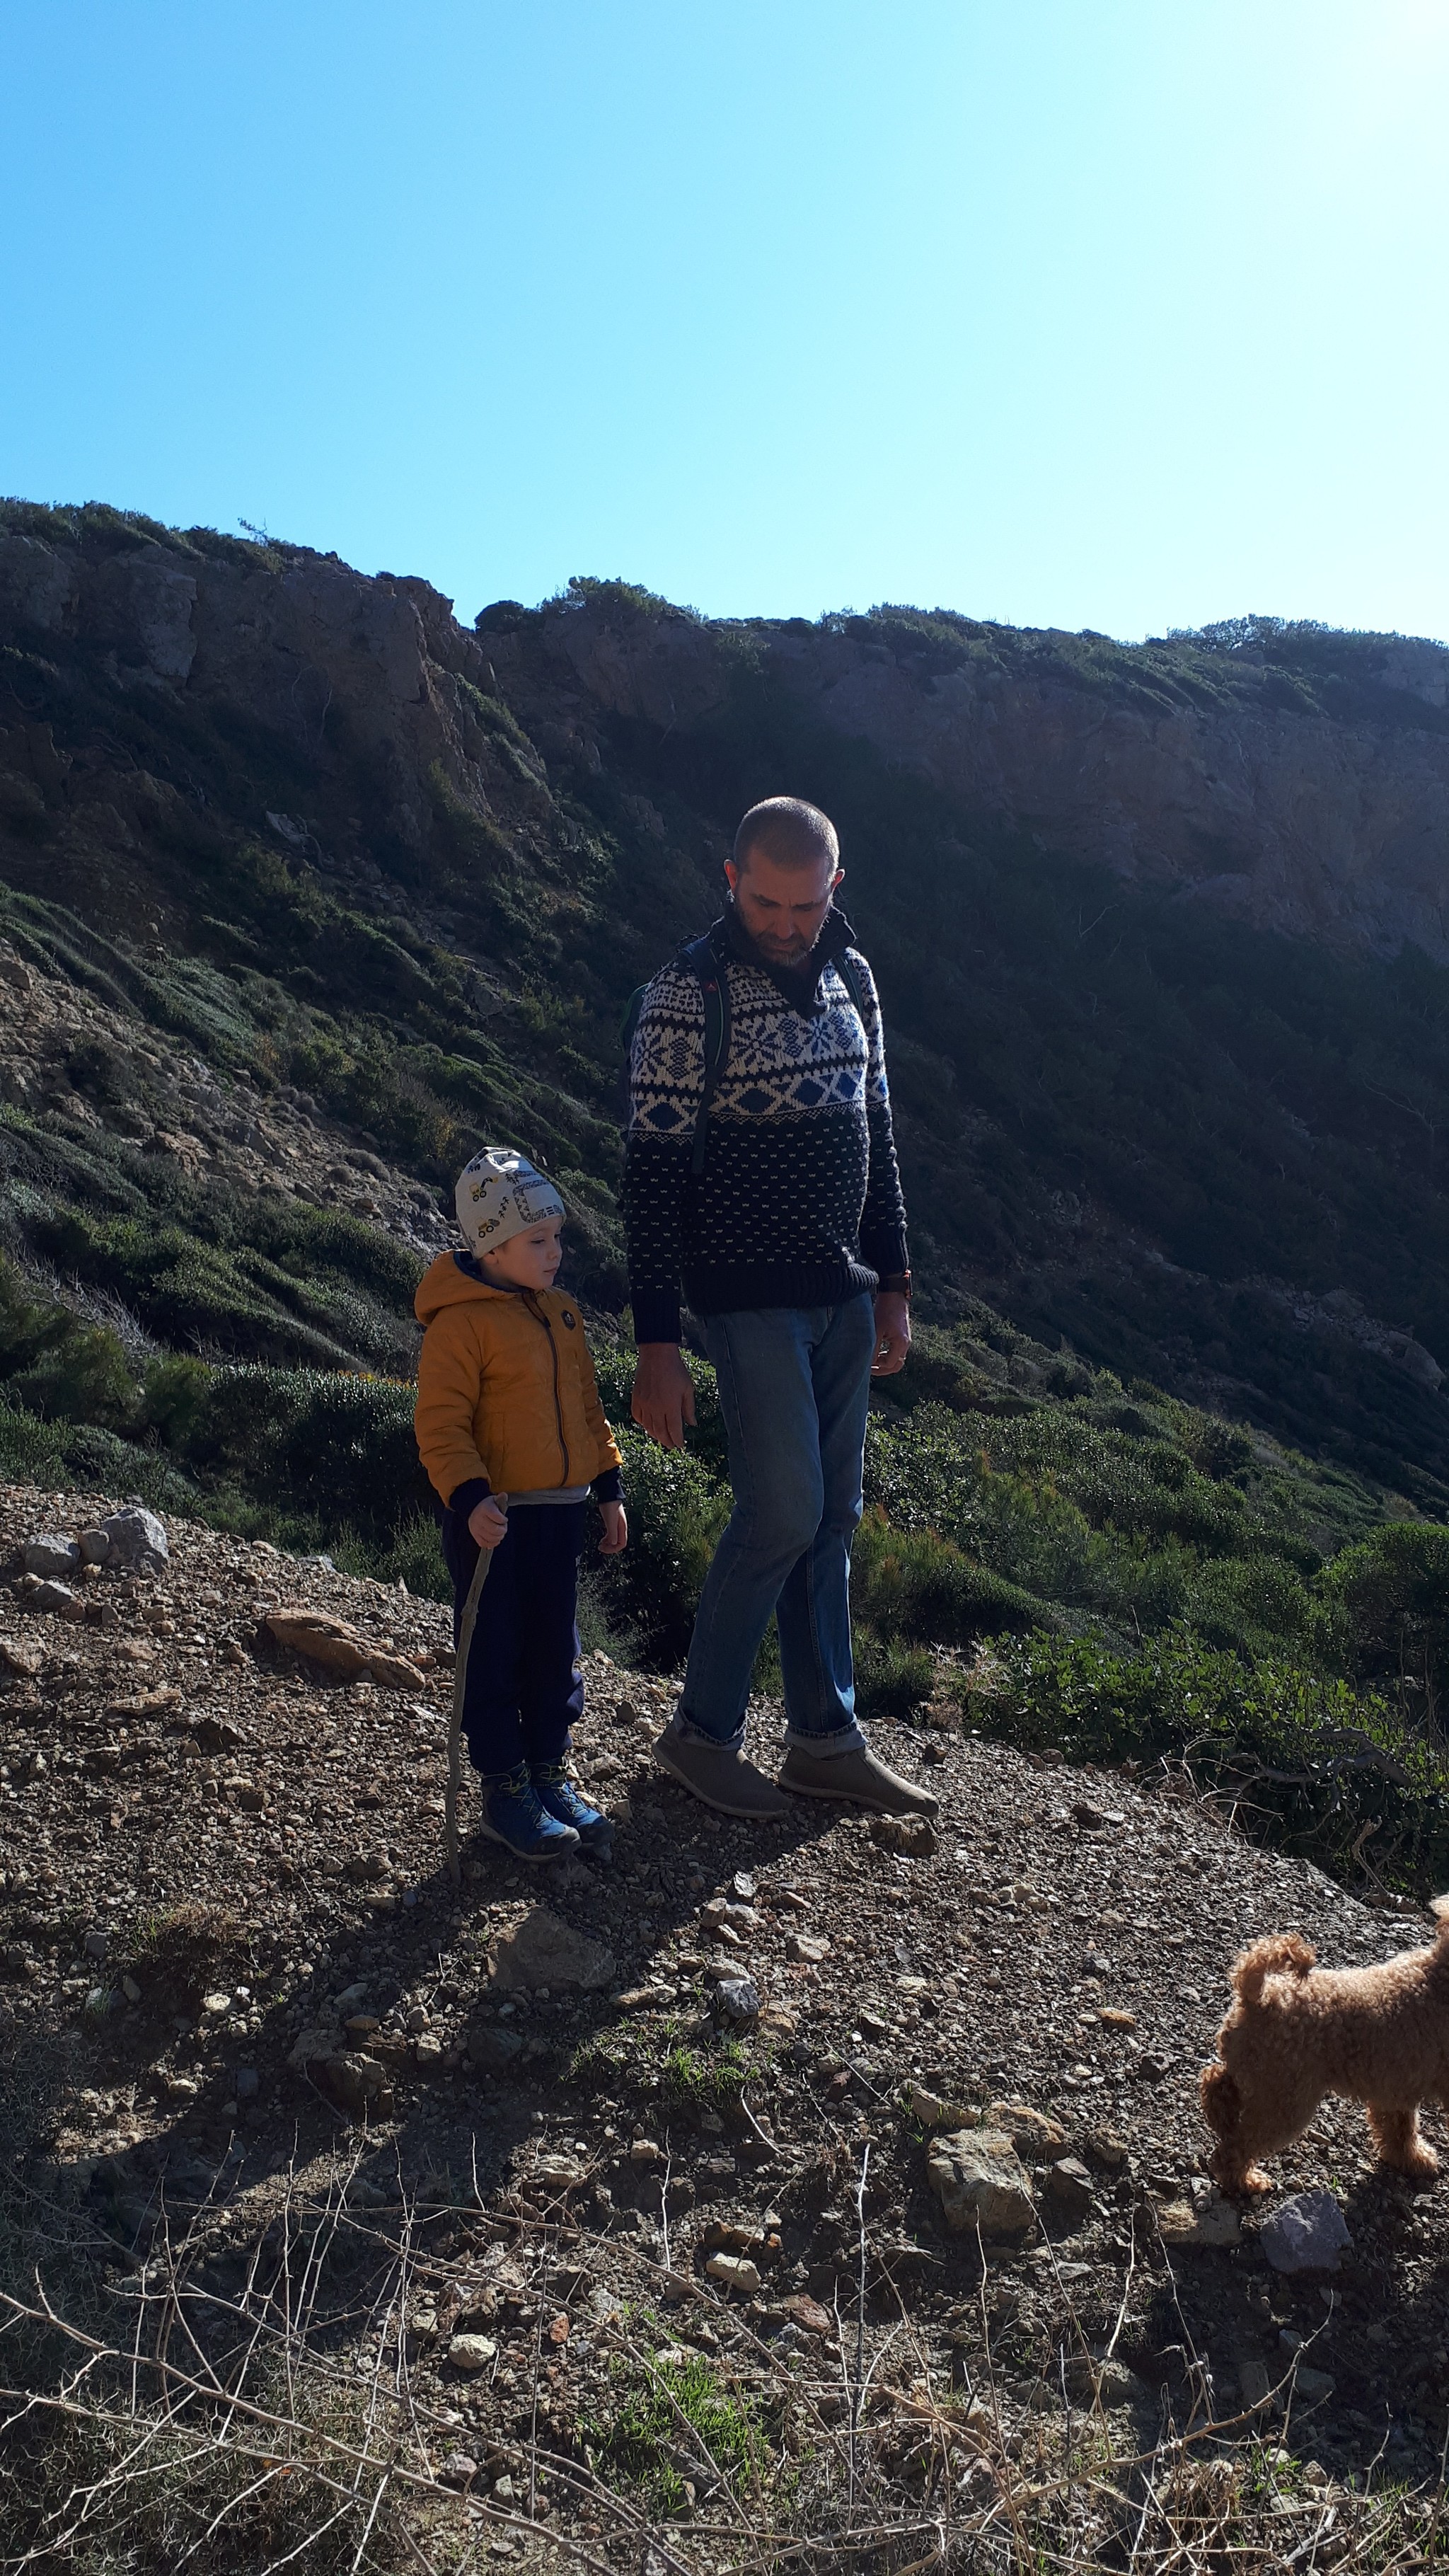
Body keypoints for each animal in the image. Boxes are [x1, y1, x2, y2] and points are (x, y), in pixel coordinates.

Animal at [1204, 1896, 1449, 2195]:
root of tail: (1260, 1998)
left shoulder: (1398, 2086)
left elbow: (1401, 2131)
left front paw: (1412, 2160)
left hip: (1256, 2072)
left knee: (1215, 2082)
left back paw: (1221, 2118)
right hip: (1285, 2100)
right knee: (1234, 2148)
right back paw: (1246, 2181)